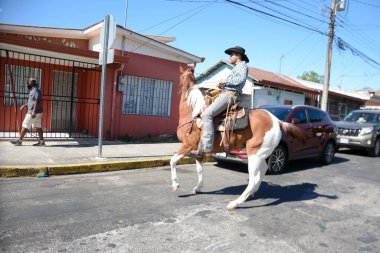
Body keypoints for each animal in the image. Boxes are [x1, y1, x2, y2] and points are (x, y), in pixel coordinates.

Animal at [171, 65, 308, 210]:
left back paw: (236, 203)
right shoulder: (198, 150)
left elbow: (173, 161)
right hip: (261, 154)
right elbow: (199, 169)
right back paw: (251, 194)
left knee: (254, 178)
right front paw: (198, 188)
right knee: (262, 171)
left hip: (253, 153)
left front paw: (175, 185)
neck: (193, 112)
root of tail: (277, 121)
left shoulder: (187, 145)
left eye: (180, 77)